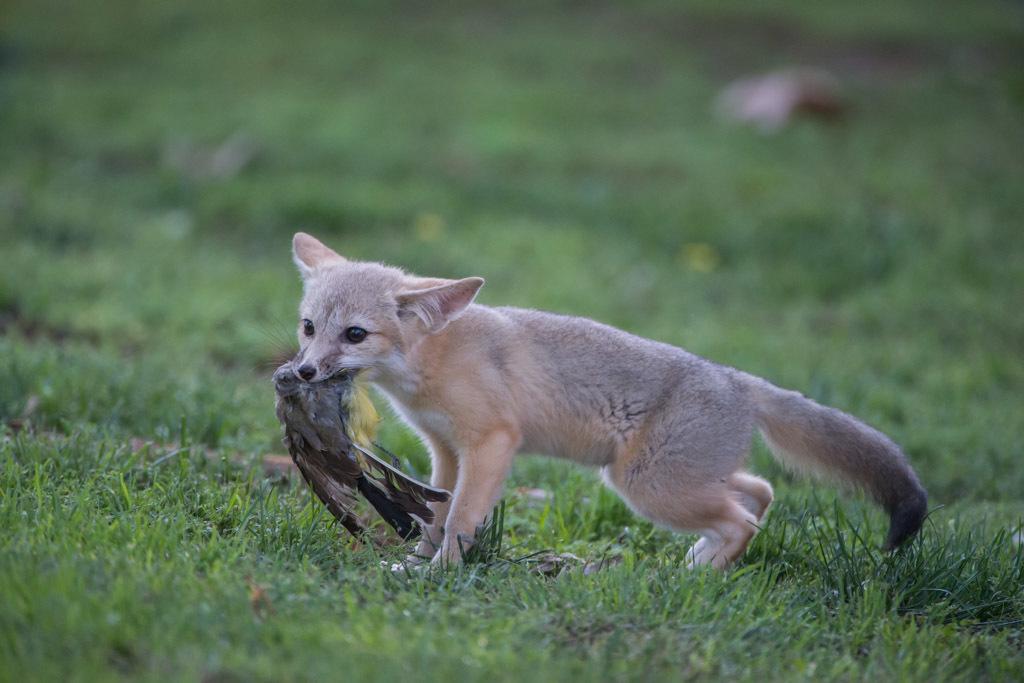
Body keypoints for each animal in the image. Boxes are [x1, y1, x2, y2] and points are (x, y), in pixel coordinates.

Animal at [289, 232, 928, 569]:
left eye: (355, 335)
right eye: (308, 327)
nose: (303, 370)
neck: (433, 360)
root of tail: (737, 379)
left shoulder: (491, 444)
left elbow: (462, 520)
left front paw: (440, 573)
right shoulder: (444, 453)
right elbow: (433, 517)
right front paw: (415, 563)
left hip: (647, 485)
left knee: (742, 518)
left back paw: (694, 578)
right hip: (679, 479)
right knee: (760, 491)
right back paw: (703, 567)